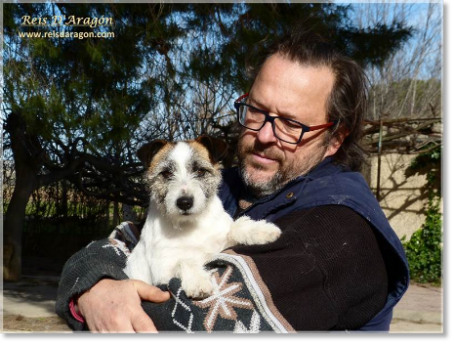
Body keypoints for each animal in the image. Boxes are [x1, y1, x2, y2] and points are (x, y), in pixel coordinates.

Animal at [124, 136, 280, 296]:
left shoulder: (220, 243)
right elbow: (184, 260)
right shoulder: (161, 270)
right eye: (166, 173)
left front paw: (261, 231)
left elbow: (234, 228)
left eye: (200, 171)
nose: (184, 203)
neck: (191, 224)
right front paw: (197, 281)